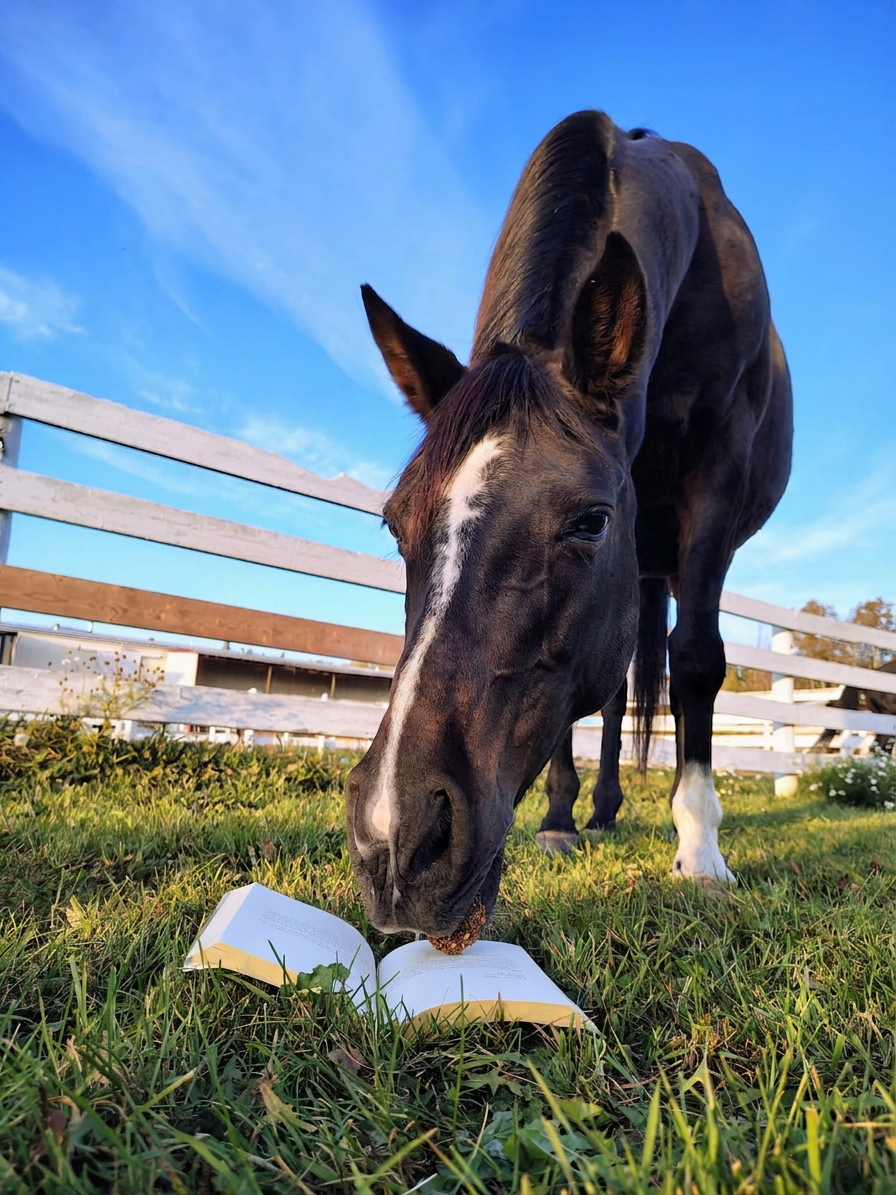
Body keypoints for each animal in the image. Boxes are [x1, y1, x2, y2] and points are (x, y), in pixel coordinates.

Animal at [346, 111, 793, 937]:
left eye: (589, 521)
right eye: (394, 525)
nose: (396, 840)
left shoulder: (716, 480)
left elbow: (697, 660)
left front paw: (701, 848)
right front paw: (559, 819)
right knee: (614, 694)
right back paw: (592, 811)